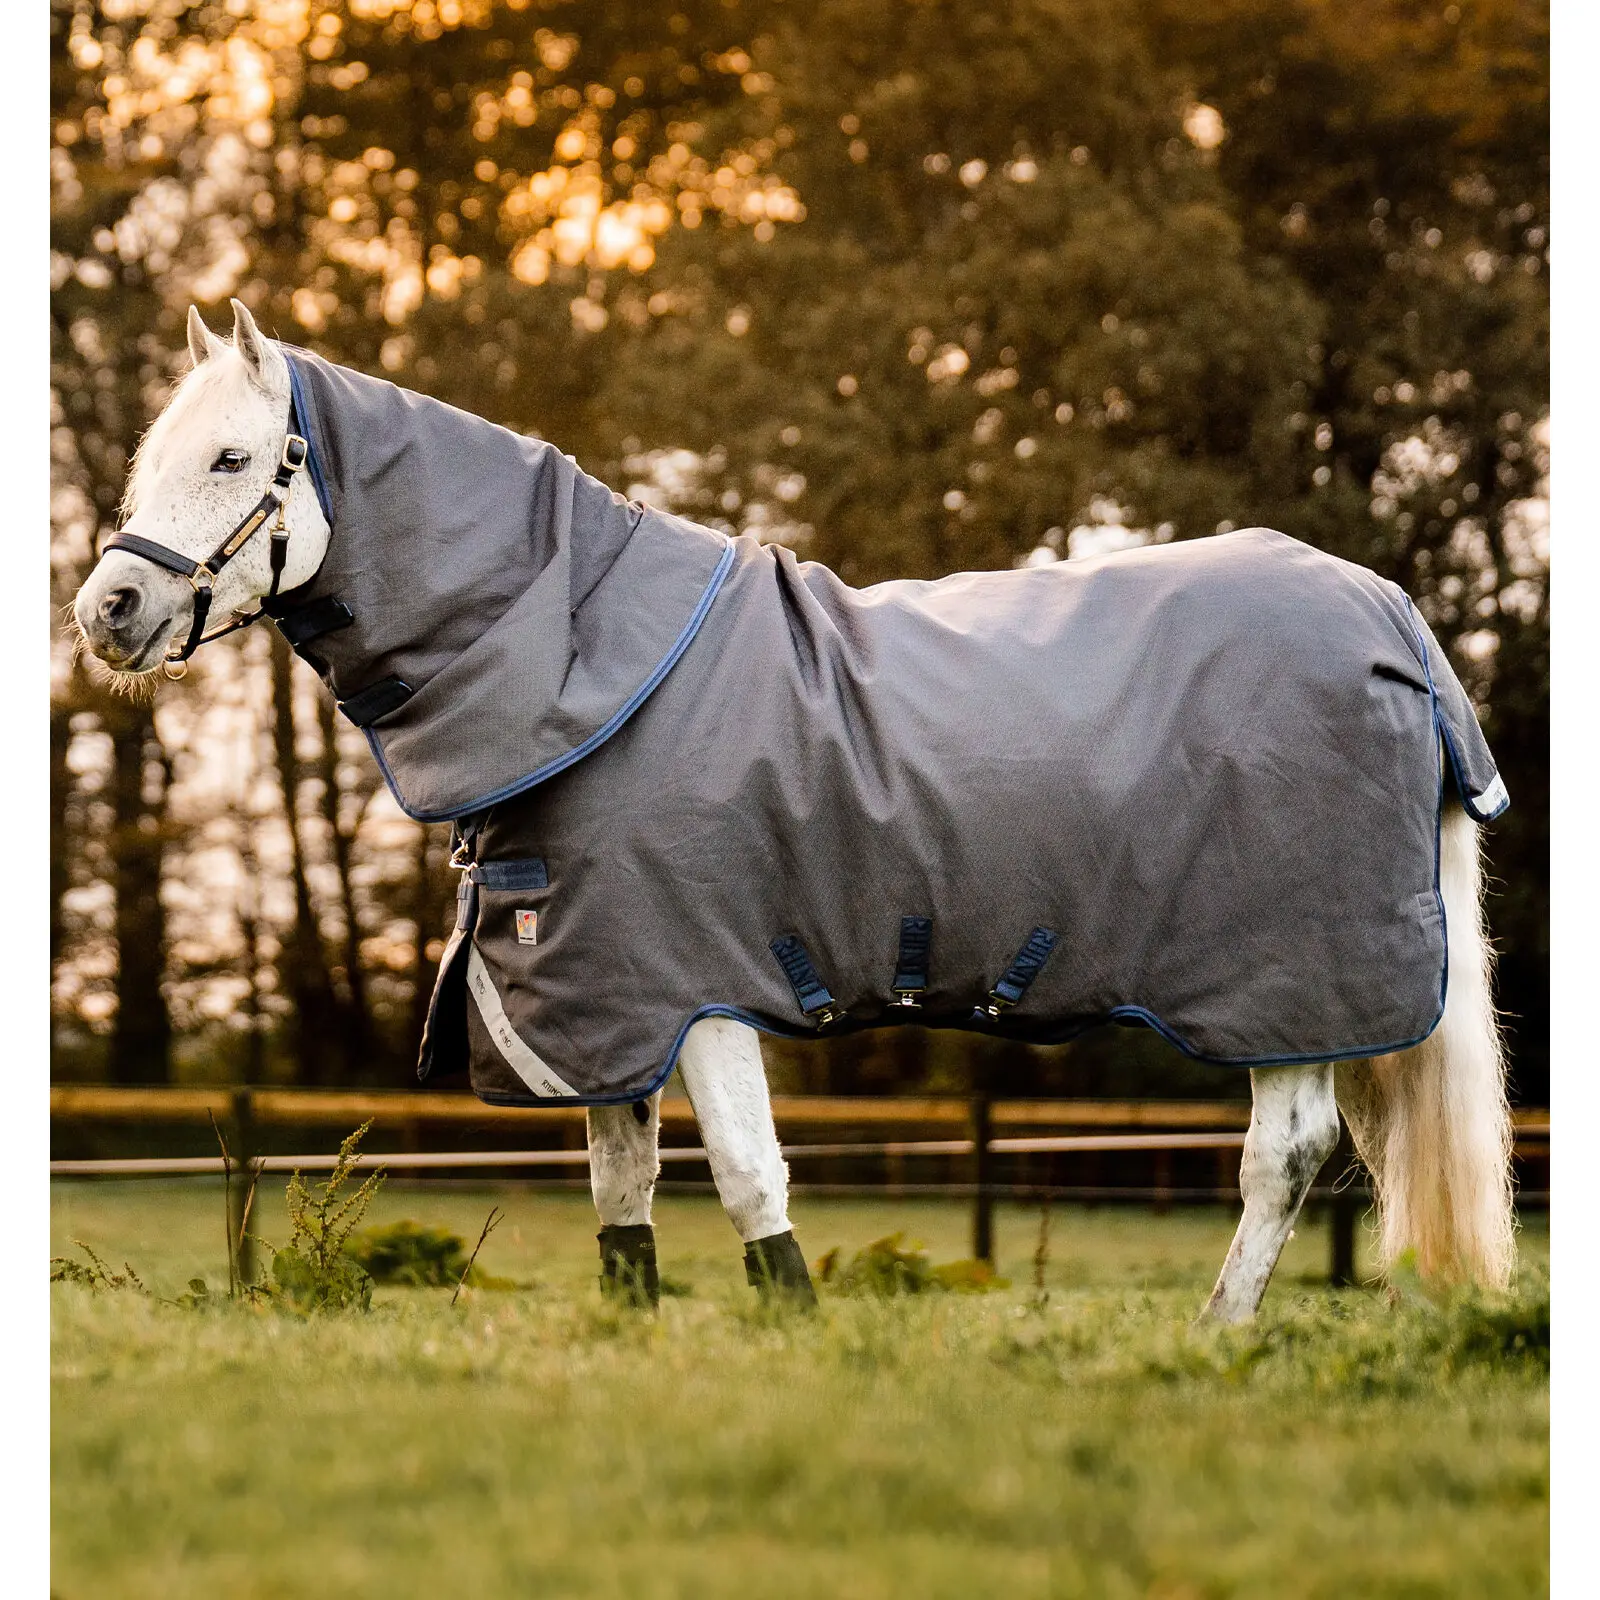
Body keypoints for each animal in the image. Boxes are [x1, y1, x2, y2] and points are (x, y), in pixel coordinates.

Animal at [72, 299, 1517, 1319]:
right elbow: (623, 1187)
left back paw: (1218, 1330)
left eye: (233, 457)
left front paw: (797, 1319)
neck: (591, 662)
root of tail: (1388, 616)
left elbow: (747, 1169)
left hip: (1290, 989)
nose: (108, 610)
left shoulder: (703, 974)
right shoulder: (611, 990)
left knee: (1283, 1155)